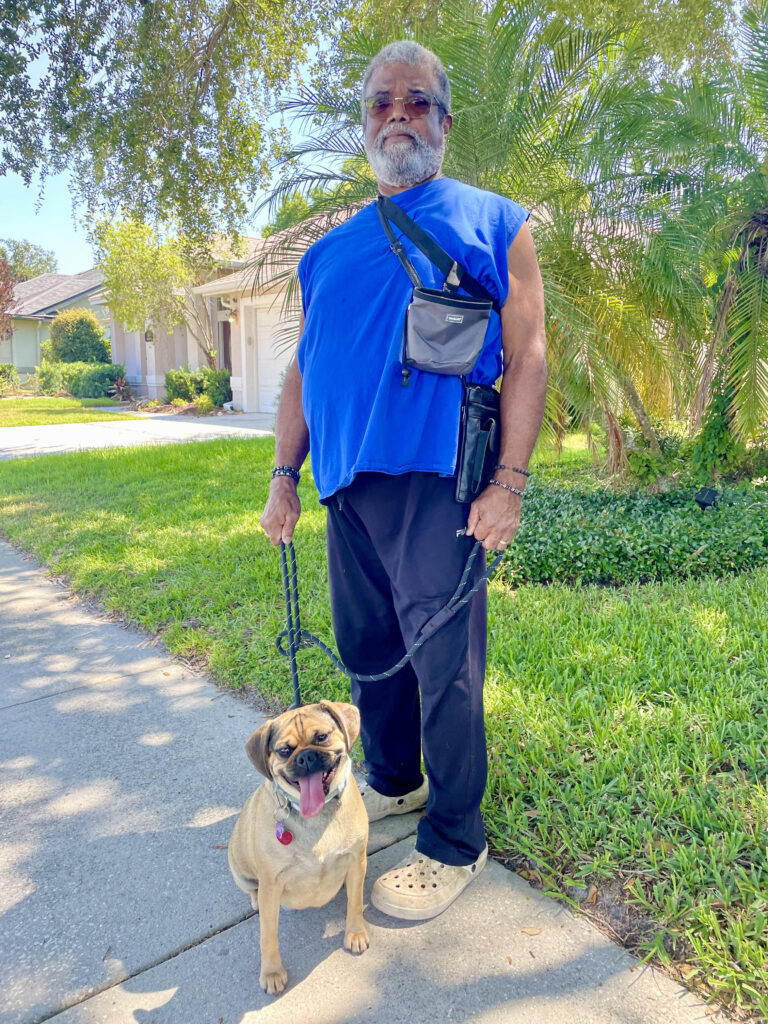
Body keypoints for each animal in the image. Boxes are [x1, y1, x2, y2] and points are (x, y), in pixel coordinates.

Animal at [228, 700, 370, 995]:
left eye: (322, 737)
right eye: (285, 751)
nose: (305, 758)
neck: (316, 816)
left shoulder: (356, 861)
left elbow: (355, 903)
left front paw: (355, 933)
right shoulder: (271, 885)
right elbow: (268, 936)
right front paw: (271, 972)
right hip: (240, 870)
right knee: (253, 890)